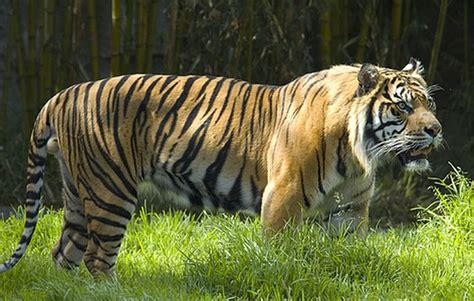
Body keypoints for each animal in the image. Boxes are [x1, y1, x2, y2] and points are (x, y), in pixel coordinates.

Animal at [1, 57, 442, 276]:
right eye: (403, 107)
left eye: (429, 103)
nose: (436, 130)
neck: (357, 154)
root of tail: (61, 95)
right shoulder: (282, 198)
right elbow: (280, 254)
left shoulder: (349, 210)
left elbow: (345, 255)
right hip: (110, 191)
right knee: (98, 258)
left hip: (80, 192)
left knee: (64, 254)